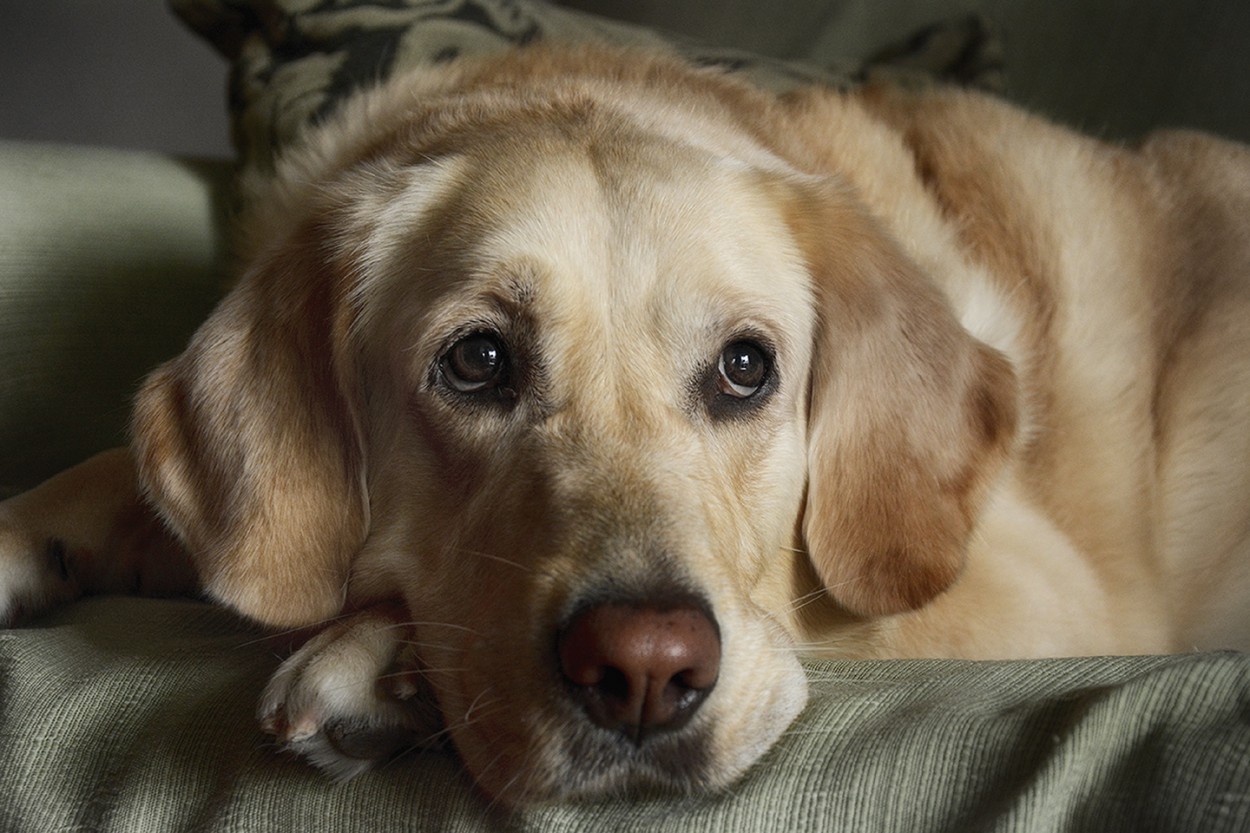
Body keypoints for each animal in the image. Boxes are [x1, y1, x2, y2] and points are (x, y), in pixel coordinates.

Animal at [2, 45, 1250, 805]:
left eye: (745, 367)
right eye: (476, 361)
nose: (645, 667)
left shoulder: (1049, 589)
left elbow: (803, 622)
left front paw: (377, 654)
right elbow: (112, 472)